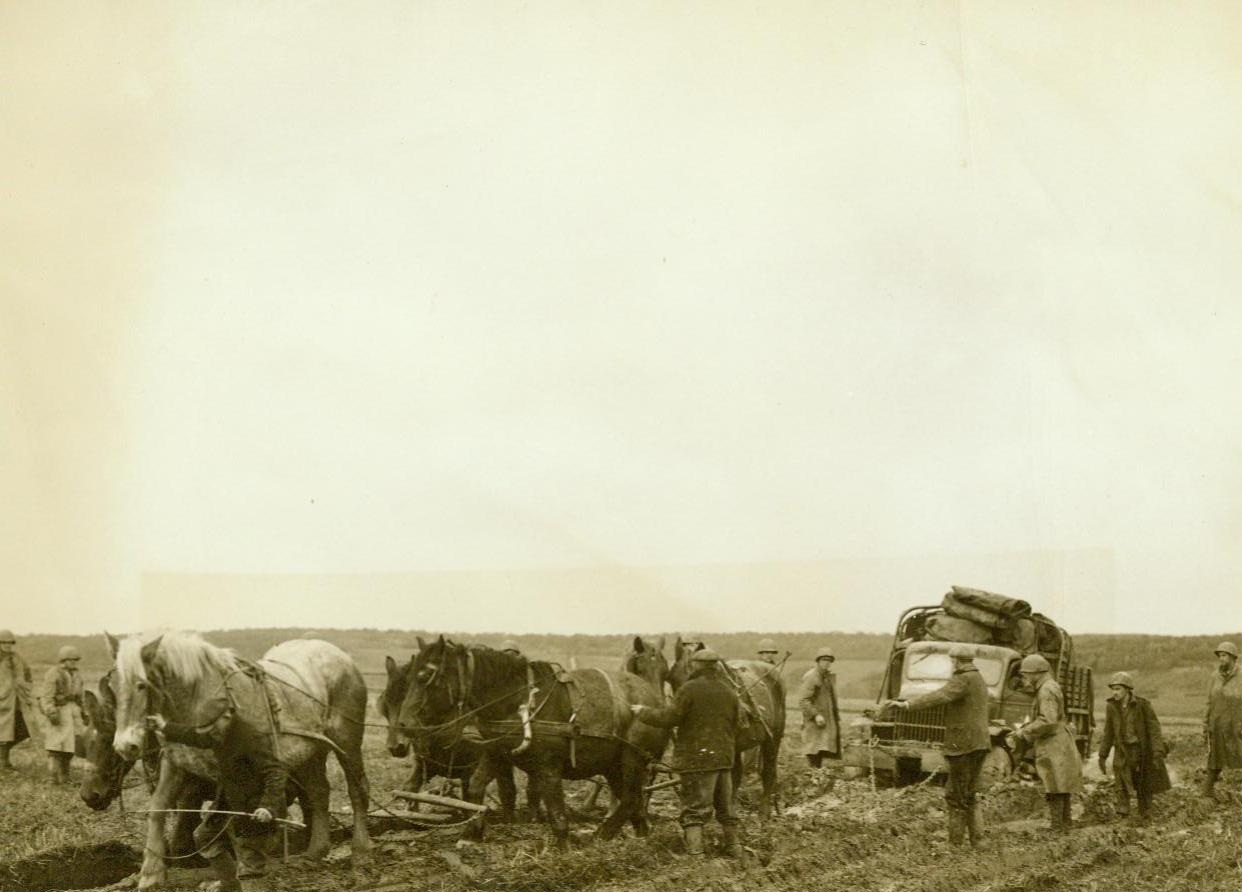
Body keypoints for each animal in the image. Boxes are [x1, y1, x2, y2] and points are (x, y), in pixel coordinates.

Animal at [111, 633, 370, 889]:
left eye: (141, 684)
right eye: (112, 688)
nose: (124, 746)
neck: (199, 699)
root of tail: (341, 655)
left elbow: (235, 825)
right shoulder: (176, 764)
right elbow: (158, 808)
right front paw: (150, 874)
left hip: (346, 742)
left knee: (357, 791)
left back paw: (361, 853)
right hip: (310, 751)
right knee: (319, 793)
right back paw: (314, 853)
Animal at [397, 633, 670, 849]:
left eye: (427, 675)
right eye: (407, 676)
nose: (404, 724)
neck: (517, 701)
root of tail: (656, 700)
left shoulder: (548, 767)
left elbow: (556, 812)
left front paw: (563, 850)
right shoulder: (497, 753)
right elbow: (475, 787)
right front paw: (471, 835)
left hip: (633, 758)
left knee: (631, 797)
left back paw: (602, 835)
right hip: (612, 764)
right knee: (632, 799)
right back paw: (642, 838)